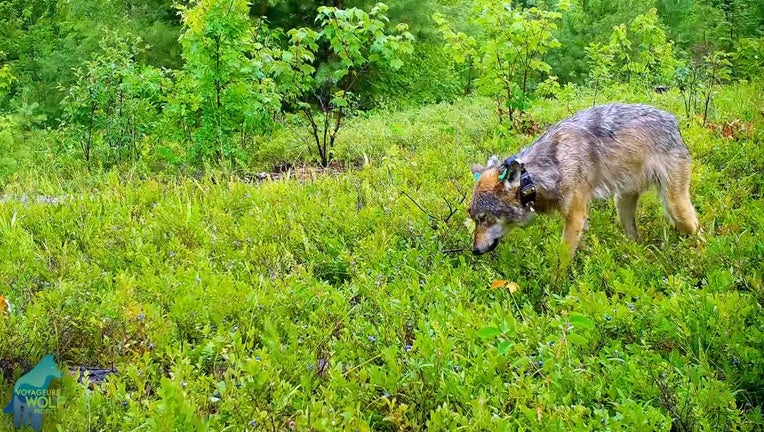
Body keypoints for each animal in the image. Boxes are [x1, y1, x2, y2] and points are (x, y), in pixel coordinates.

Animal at [469, 103, 699, 257]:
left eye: (484, 218)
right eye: (474, 219)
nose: (475, 251)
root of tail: (672, 120)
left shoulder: (576, 216)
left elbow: (561, 257)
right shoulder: (580, 221)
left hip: (676, 208)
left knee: (697, 228)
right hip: (622, 205)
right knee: (634, 238)